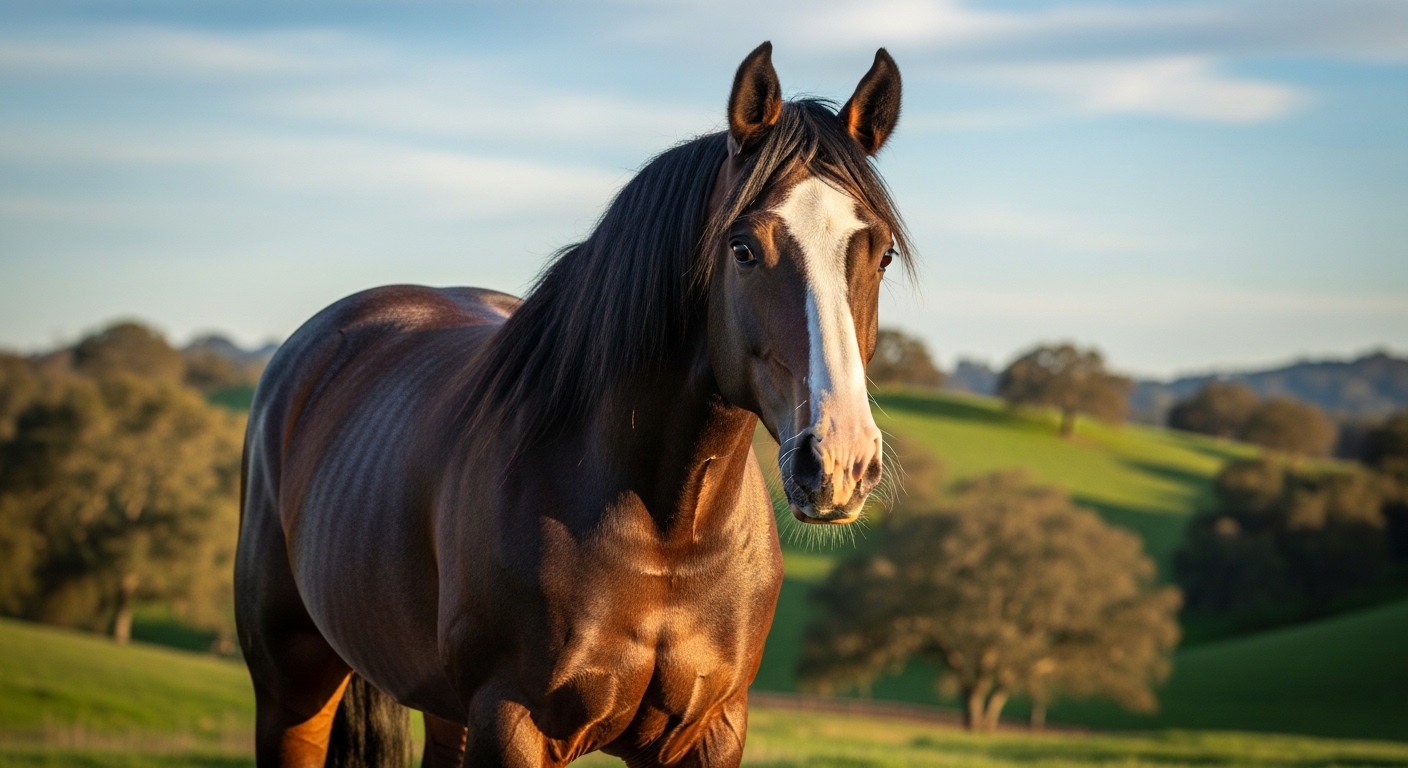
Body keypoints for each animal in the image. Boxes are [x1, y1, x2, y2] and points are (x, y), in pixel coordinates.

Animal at [235, 41, 910, 767]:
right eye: (744, 248)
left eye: (882, 254)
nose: (839, 461)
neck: (667, 534)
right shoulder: (512, 723)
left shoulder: (712, 729)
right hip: (292, 688)